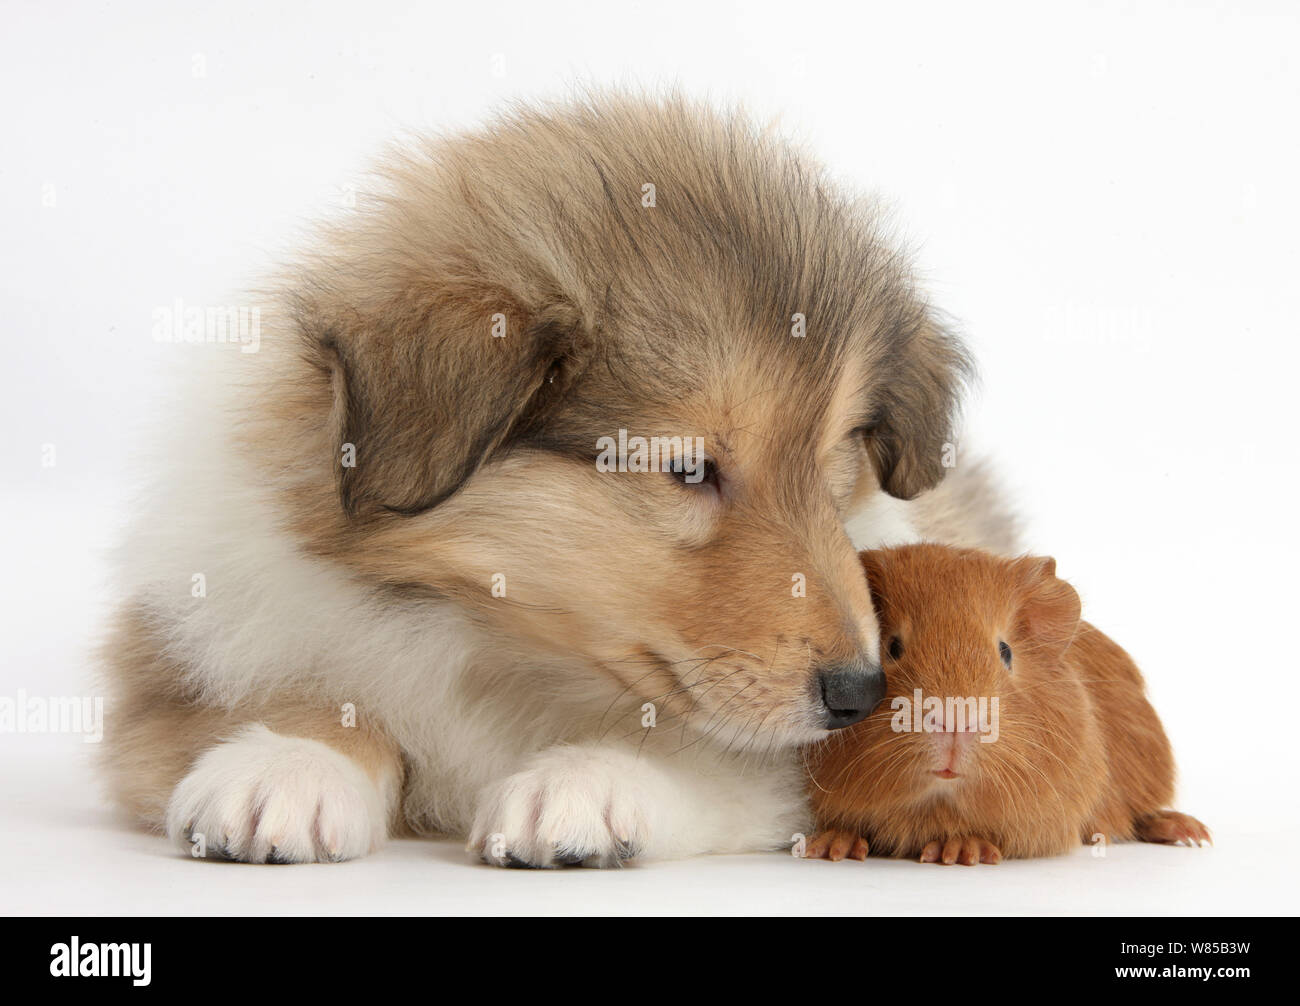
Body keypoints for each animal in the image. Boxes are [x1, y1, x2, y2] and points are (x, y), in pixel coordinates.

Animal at [101, 92, 1013, 868]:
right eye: (689, 469)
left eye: (833, 476)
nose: (862, 693)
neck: (501, 649)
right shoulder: (170, 670)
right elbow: (301, 698)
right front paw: (290, 765)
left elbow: (705, 751)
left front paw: (584, 784)